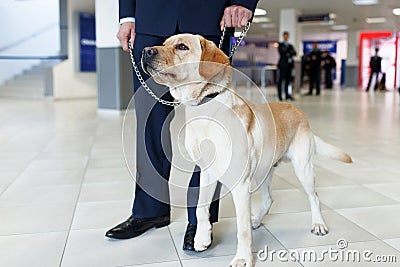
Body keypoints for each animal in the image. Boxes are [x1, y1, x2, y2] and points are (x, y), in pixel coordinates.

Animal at [141, 34, 354, 267]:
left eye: (182, 47)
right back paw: (257, 220)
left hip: (303, 168)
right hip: (263, 171)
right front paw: (202, 238)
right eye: (163, 43)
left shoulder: (241, 186)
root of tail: (297, 109)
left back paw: (318, 224)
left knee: (314, 197)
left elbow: (241, 229)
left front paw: (243, 257)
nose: (145, 50)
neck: (206, 107)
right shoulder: (207, 173)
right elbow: (200, 208)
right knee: (269, 199)